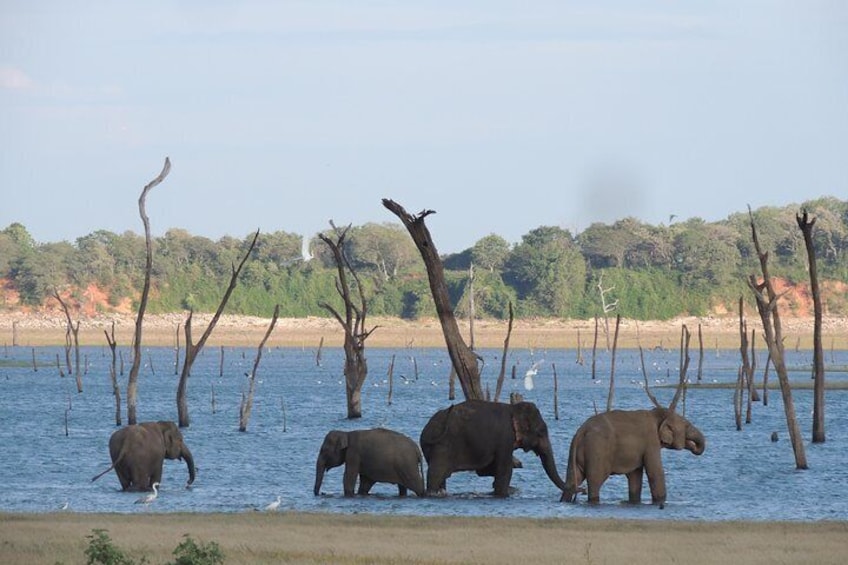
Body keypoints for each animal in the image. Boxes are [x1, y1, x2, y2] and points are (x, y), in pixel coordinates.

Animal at [420, 398, 568, 496]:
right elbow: (505, 469)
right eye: (541, 432)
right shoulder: (505, 438)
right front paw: (503, 493)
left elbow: (485, 470)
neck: (513, 407)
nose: (581, 490)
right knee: (436, 473)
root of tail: (426, 431)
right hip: (442, 446)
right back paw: (432, 493)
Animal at [560, 406, 704, 506]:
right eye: (687, 426)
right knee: (595, 481)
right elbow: (655, 472)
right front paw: (660, 503)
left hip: (576, 454)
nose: (695, 447)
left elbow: (635, 475)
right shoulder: (651, 441)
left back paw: (565, 501)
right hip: (597, 450)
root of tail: (581, 431)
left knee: (573, 479)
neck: (657, 413)